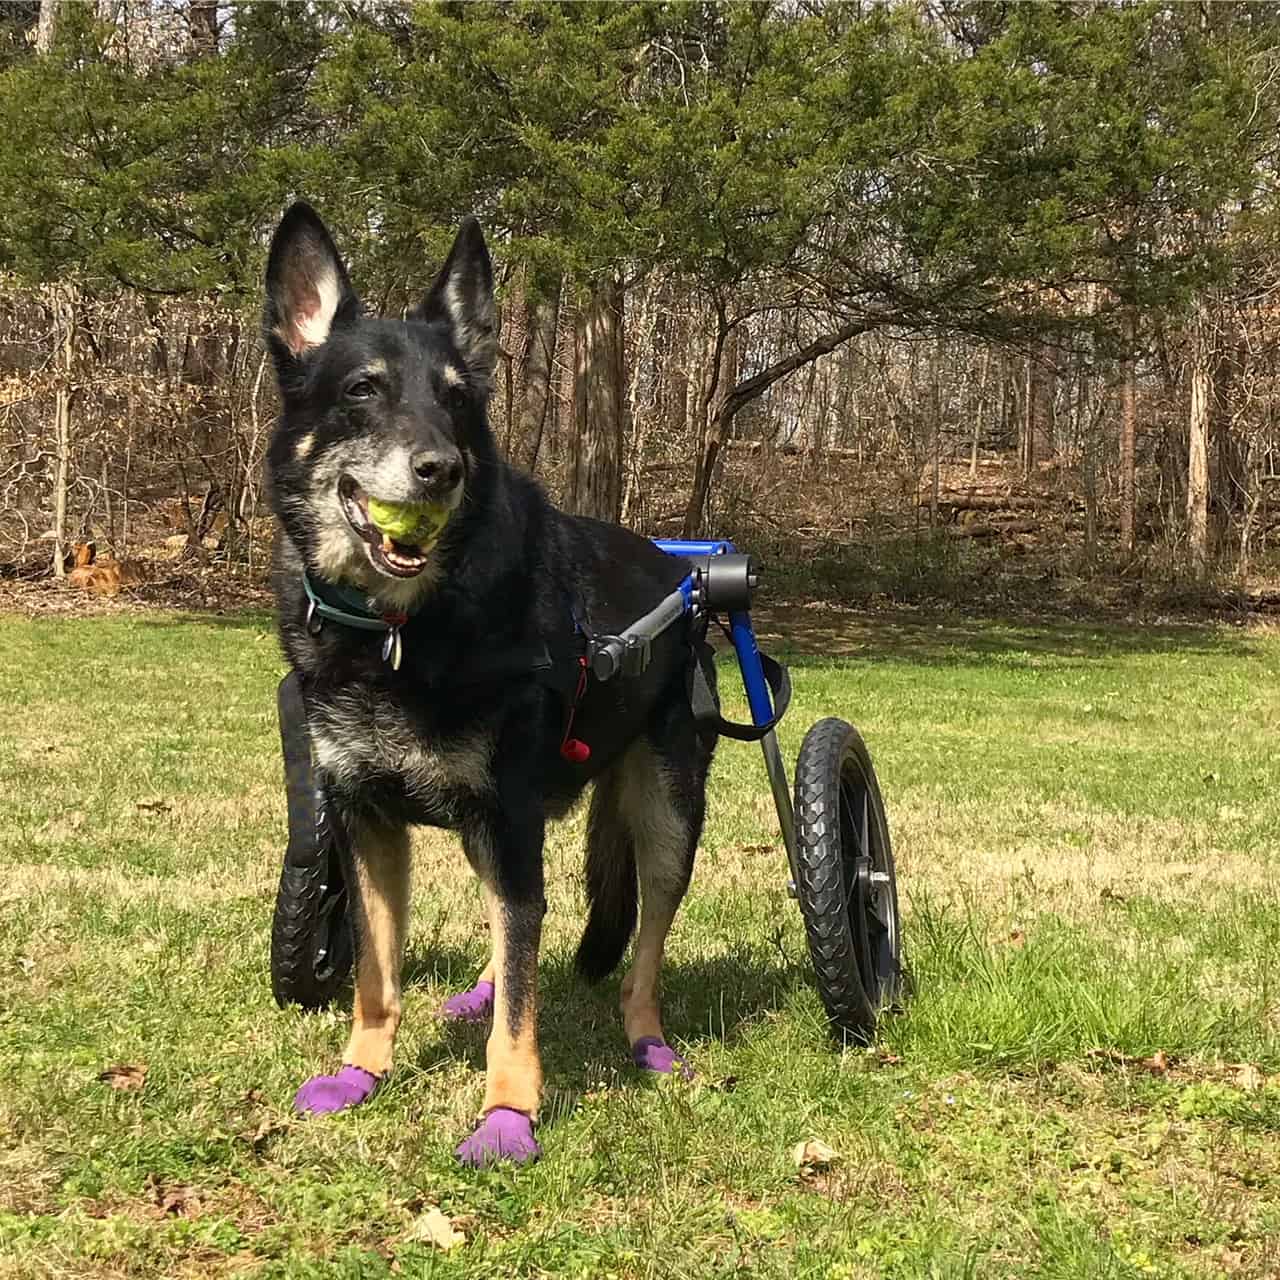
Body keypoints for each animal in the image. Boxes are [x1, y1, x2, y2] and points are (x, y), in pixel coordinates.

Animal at [263, 202, 716, 1172]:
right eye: (362, 390)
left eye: (458, 400)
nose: (443, 467)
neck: (399, 634)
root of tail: (684, 574)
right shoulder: (369, 822)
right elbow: (377, 971)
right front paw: (361, 1071)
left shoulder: (506, 824)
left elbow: (521, 1012)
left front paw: (508, 1114)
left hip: (666, 820)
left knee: (643, 953)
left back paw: (648, 1040)